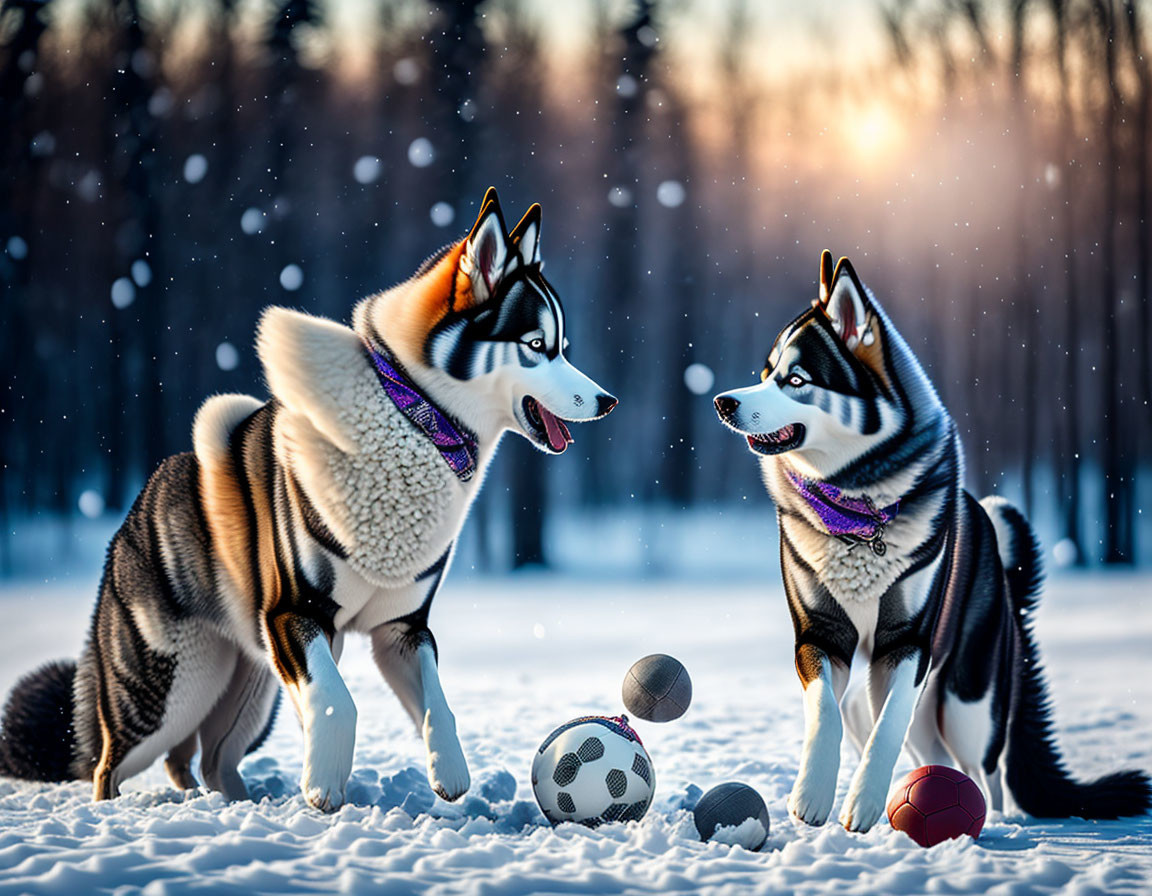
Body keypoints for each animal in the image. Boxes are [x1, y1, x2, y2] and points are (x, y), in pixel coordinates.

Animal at [2, 188, 612, 810]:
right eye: (536, 346)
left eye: (564, 348)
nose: (607, 400)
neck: (414, 413)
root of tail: (132, 518)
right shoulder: (296, 614)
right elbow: (337, 702)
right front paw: (324, 785)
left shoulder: (401, 629)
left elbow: (438, 705)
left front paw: (450, 773)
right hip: (170, 687)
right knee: (110, 764)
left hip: (251, 688)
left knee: (206, 759)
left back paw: (236, 804)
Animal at [714, 249, 1147, 829]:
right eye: (765, 374)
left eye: (796, 379)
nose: (724, 402)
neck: (859, 512)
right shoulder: (820, 636)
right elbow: (825, 712)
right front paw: (813, 794)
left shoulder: (908, 644)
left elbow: (889, 726)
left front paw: (864, 801)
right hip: (892, 699)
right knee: (918, 747)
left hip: (969, 700)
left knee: (985, 769)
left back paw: (992, 822)